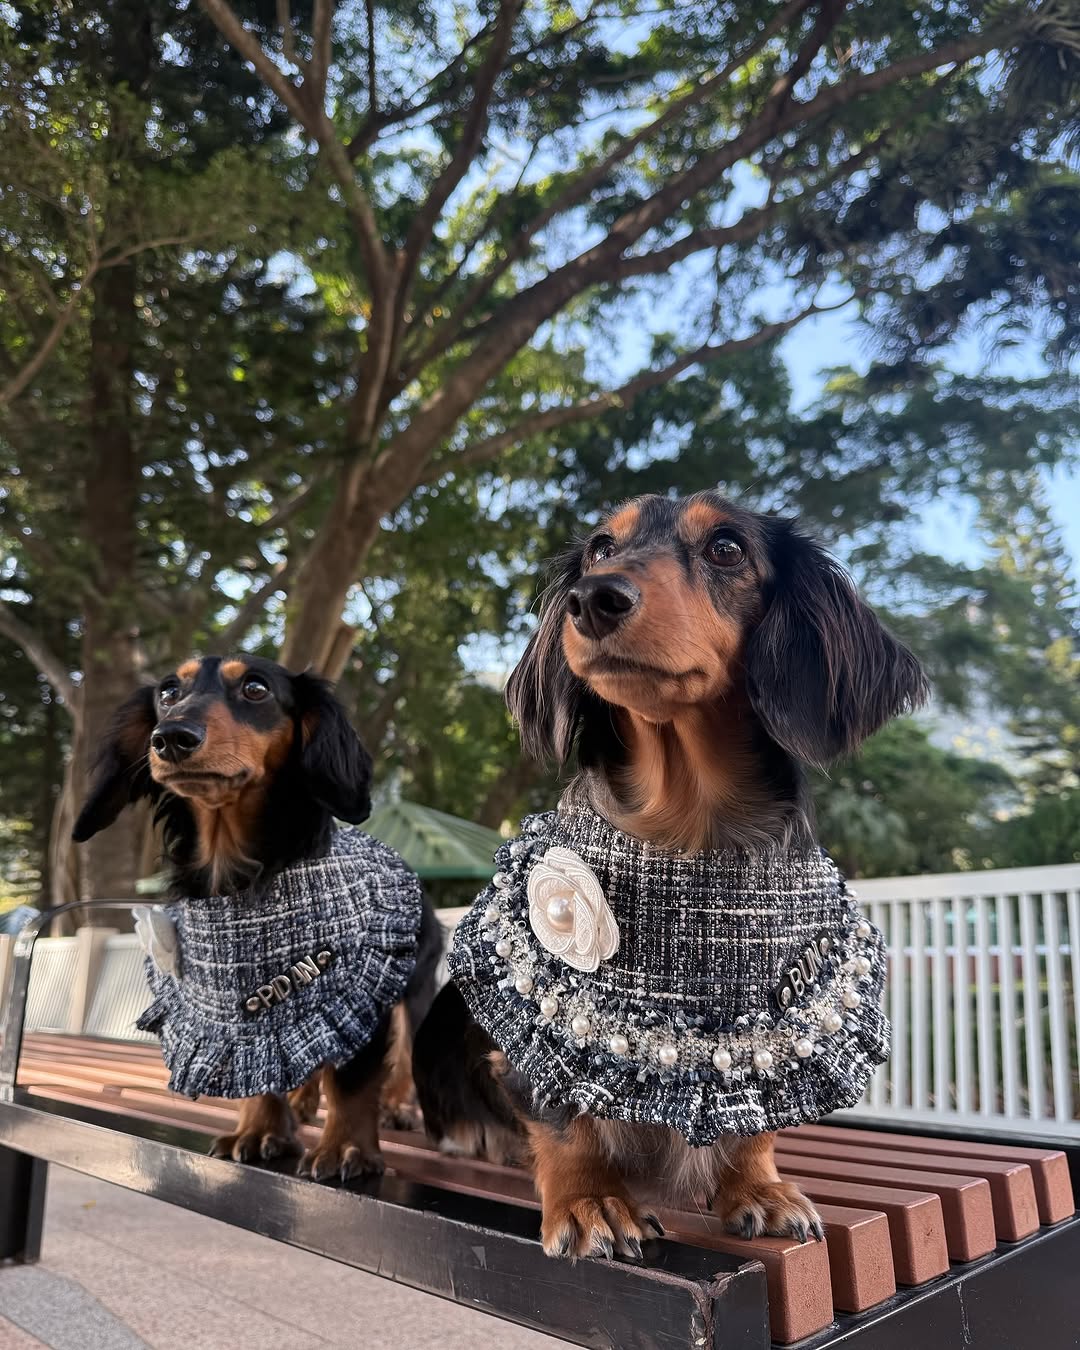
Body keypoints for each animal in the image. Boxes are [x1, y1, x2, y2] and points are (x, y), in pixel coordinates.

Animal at [73, 656, 440, 1182]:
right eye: (168, 692)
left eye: (255, 688)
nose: (171, 737)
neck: (241, 878)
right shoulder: (238, 1018)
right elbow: (263, 1067)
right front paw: (259, 1130)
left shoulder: (361, 987)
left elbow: (352, 1081)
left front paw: (345, 1149)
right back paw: (302, 1100)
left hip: (414, 986)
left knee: (406, 1053)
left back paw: (398, 1108)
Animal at [413, 494, 928, 1252]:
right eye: (601, 546)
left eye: (727, 548)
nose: (593, 599)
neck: (684, 829)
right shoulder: (536, 1033)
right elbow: (565, 1118)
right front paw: (590, 1200)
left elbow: (756, 1117)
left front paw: (757, 1185)